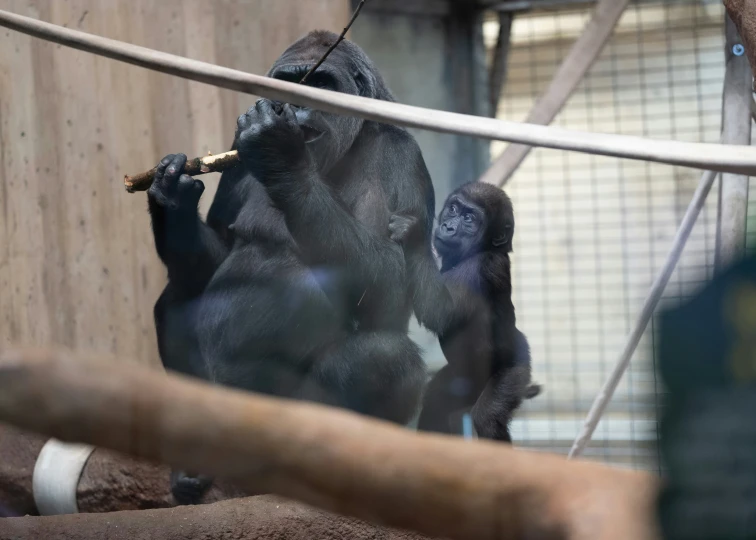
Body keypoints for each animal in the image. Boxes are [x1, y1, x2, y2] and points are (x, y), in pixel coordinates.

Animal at [148, 30, 434, 502]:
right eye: (287, 85)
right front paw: (172, 203)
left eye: (319, 84)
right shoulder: (235, 146)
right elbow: (219, 252)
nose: (294, 109)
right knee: (177, 297)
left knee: (384, 358)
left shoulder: (400, 153)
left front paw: (279, 152)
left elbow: (388, 289)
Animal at [390, 184, 536, 440]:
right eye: (454, 209)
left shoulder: (484, 267)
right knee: (435, 403)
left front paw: (413, 235)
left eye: (469, 219)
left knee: (487, 418)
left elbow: (441, 311)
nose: (448, 227)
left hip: (516, 370)